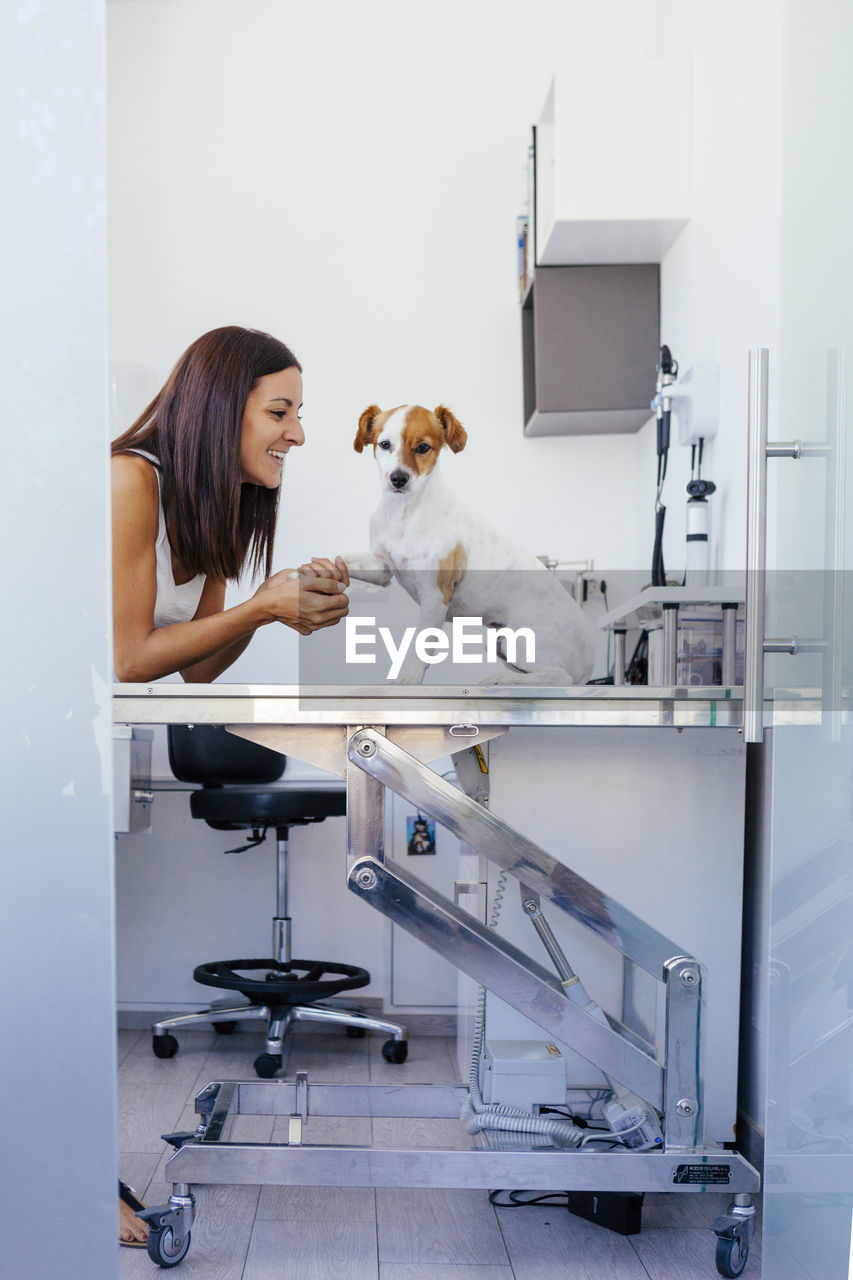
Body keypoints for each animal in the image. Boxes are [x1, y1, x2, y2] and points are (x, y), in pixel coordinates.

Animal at [343, 401, 591, 686]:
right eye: (384, 444)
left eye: (423, 447)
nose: (398, 478)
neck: (404, 513)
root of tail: (590, 658)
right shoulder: (381, 567)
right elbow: (343, 560)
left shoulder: (435, 596)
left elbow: (420, 644)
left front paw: (408, 679)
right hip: (499, 642)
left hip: (523, 641)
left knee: (559, 677)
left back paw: (501, 680)